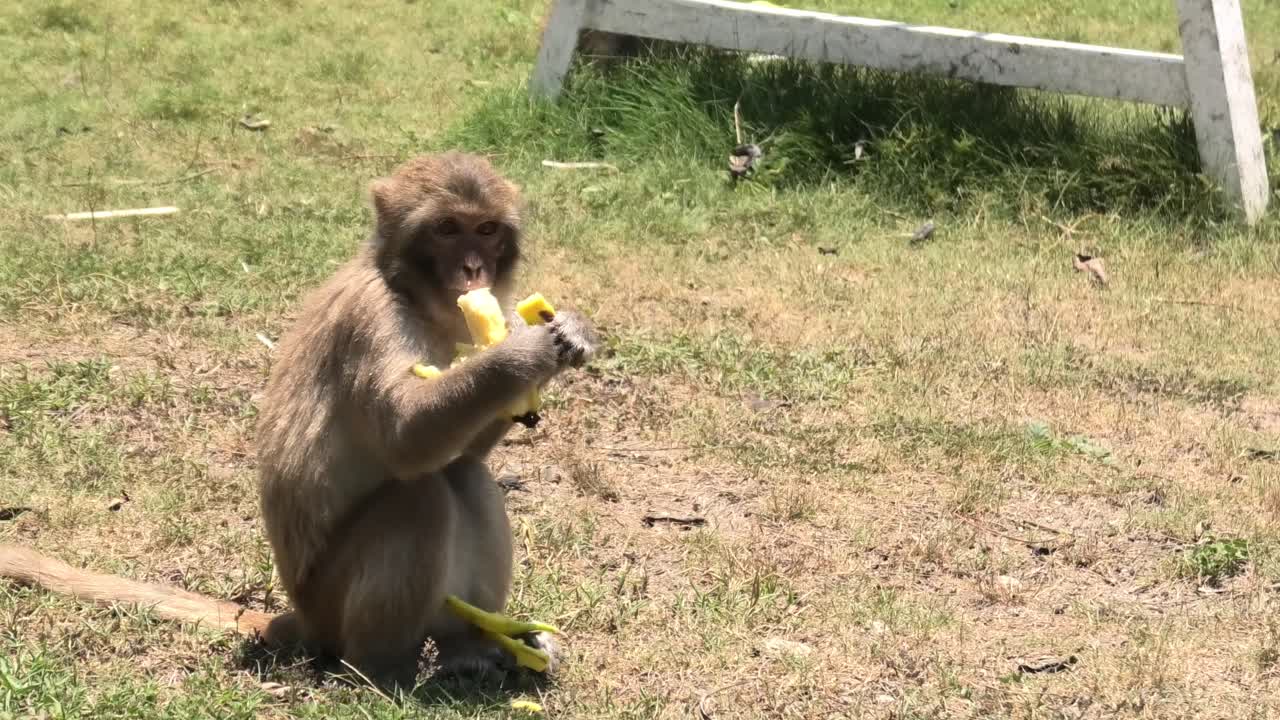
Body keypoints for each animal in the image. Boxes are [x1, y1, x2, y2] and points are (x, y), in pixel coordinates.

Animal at [0, 151, 600, 691]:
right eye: (448, 229)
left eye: (487, 229)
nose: (474, 269)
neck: (405, 289)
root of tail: (303, 616)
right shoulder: (371, 318)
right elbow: (405, 442)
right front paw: (522, 353)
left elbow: (461, 454)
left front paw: (567, 333)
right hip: (330, 601)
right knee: (420, 496)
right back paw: (381, 673)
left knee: (464, 477)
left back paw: (467, 648)